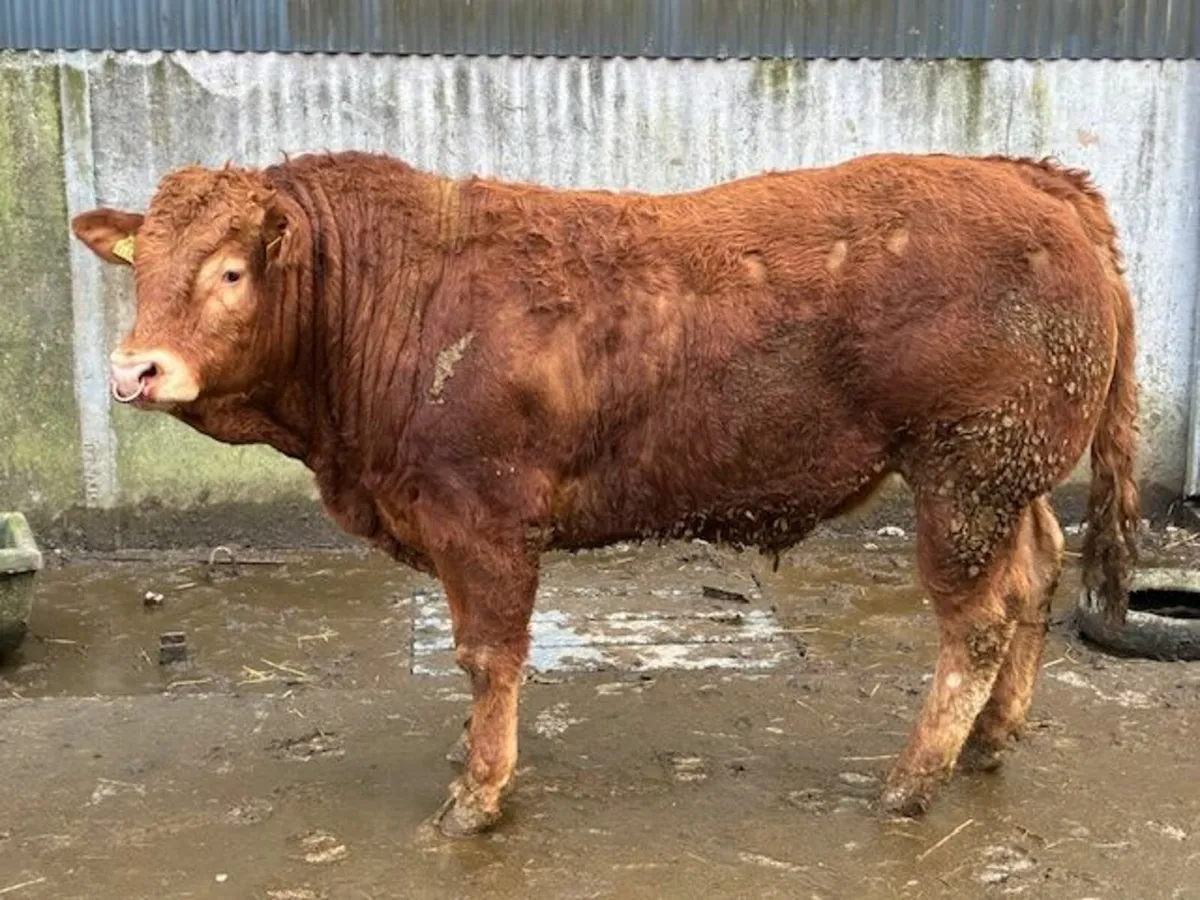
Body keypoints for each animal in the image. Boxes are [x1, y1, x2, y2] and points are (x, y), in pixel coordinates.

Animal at [70, 149, 1140, 838]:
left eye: (230, 270)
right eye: (140, 270)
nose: (135, 371)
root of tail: (1031, 176)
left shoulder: (484, 520)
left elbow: (489, 657)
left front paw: (479, 794)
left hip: (963, 476)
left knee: (978, 623)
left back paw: (911, 784)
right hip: (1010, 479)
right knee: (1036, 578)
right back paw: (991, 741)